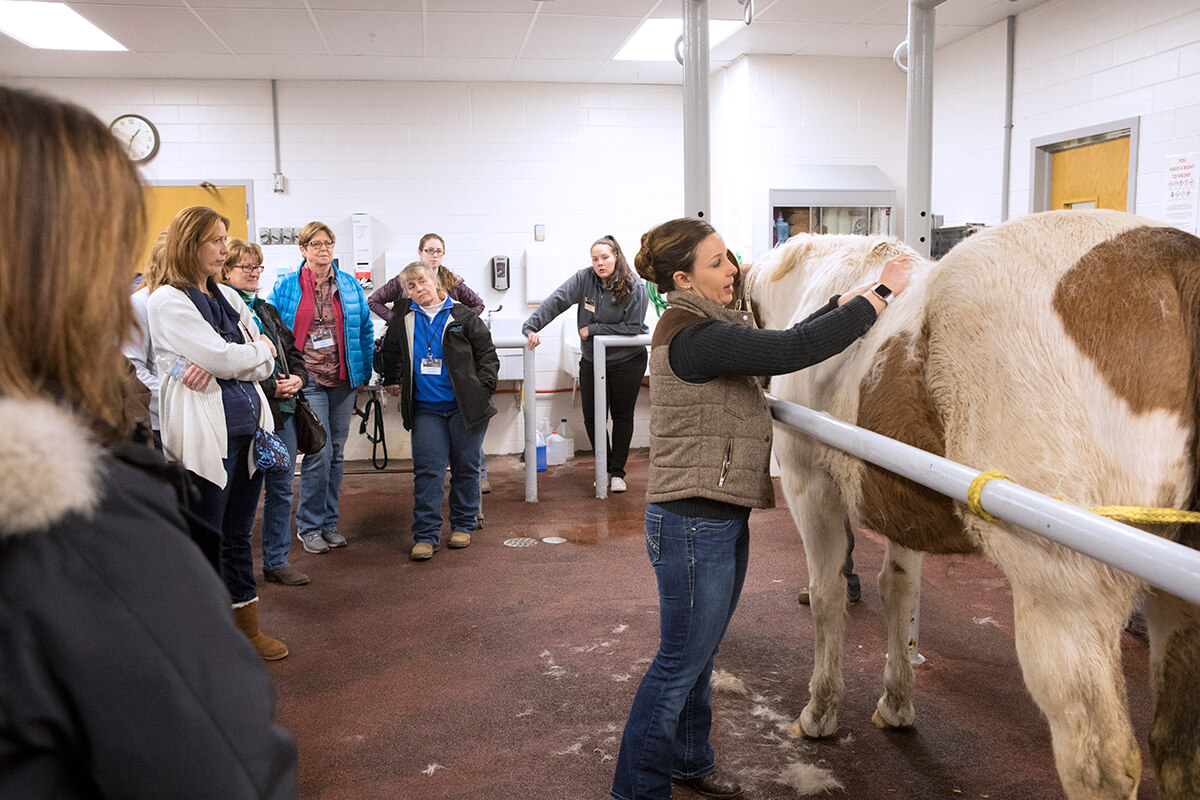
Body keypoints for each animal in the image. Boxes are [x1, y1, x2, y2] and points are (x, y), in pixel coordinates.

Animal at [744, 211, 1195, 800]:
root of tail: (1173, 267)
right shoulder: (902, 503)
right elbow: (900, 592)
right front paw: (896, 703)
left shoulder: (809, 486)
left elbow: (828, 596)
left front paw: (820, 714)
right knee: (1178, 748)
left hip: (1064, 601)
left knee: (1100, 762)